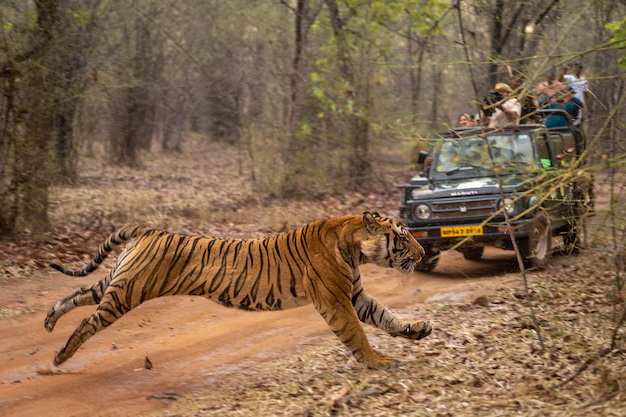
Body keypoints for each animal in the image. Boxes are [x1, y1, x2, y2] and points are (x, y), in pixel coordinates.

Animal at [46, 213, 432, 368]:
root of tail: (149, 230)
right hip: (126, 293)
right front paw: (379, 362)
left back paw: (49, 320)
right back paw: (59, 356)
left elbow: (385, 316)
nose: (422, 253)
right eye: (402, 237)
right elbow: (358, 334)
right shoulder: (337, 302)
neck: (353, 247)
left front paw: (418, 329)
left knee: (76, 295)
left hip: (116, 282)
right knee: (87, 323)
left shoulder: (354, 294)